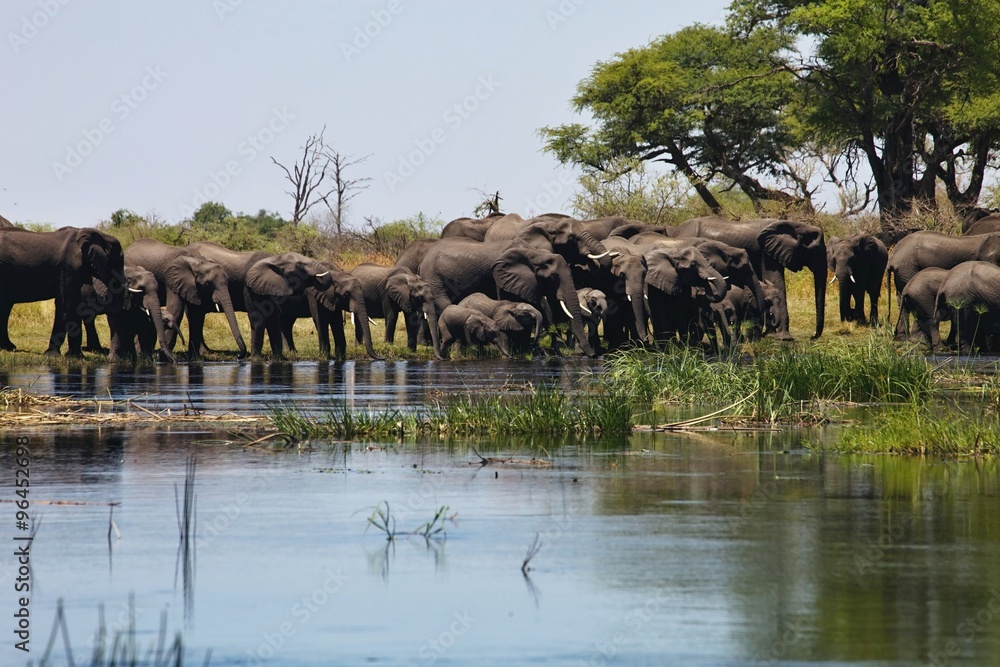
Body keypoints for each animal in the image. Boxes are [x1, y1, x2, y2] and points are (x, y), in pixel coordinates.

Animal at [0, 226, 126, 357]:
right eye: (119, 262)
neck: (101, 235)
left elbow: (75, 303)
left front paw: (75, 356)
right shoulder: (69, 267)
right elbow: (66, 302)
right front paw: (52, 355)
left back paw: (8, 347)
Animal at [673, 216, 827, 340]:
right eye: (813, 252)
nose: (813, 336)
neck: (792, 224)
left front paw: (770, 333)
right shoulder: (766, 253)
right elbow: (776, 281)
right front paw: (784, 338)